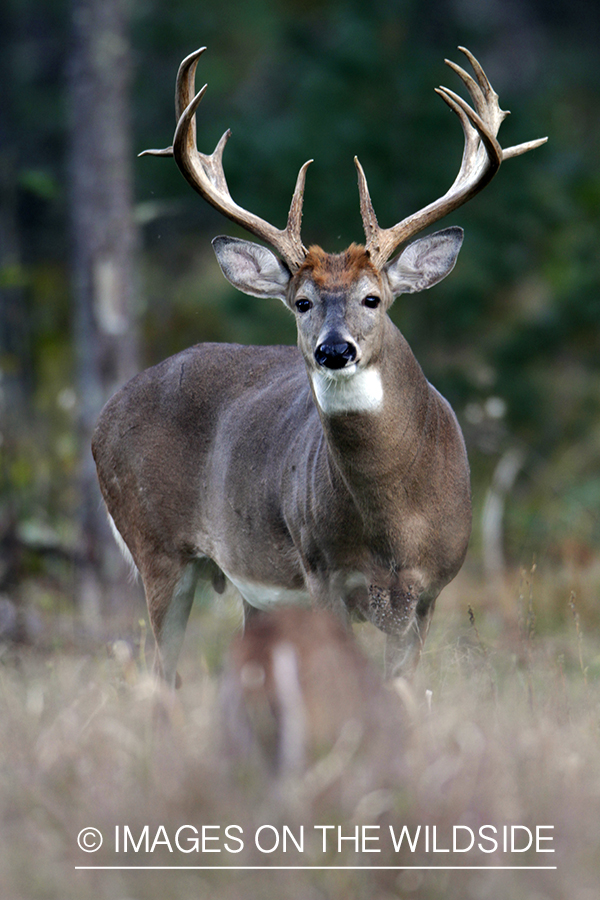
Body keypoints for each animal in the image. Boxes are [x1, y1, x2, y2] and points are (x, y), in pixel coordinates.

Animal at [91, 45, 548, 684]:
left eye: (372, 298)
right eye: (302, 302)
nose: (335, 350)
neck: (394, 523)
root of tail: (106, 414)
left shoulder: (429, 591)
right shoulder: (321, 572)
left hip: (247, 590)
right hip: (156, 546)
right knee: (162, 672)